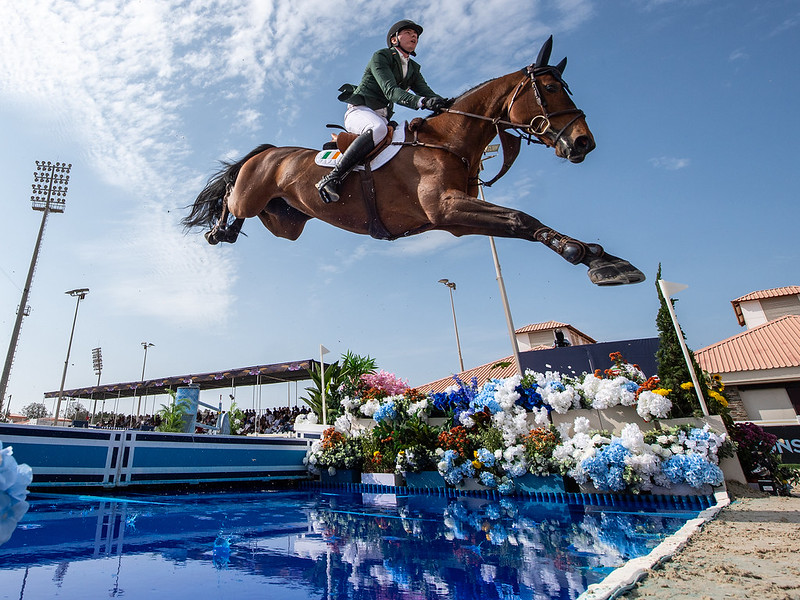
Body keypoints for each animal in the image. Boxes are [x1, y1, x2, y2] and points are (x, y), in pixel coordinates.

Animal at [183, 37, 645, 286]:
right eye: (549, 88)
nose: (584, 143)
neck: (450, 140)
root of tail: (270, 152)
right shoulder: (447, 208)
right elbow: (521, 218)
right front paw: (581, 253)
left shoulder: (457, 219)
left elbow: (520, 222)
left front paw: (604, 259)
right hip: (252, 192)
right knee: (231, 197)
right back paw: (218, 231)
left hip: (287, 221)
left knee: (263, 216)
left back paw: (233, 230)